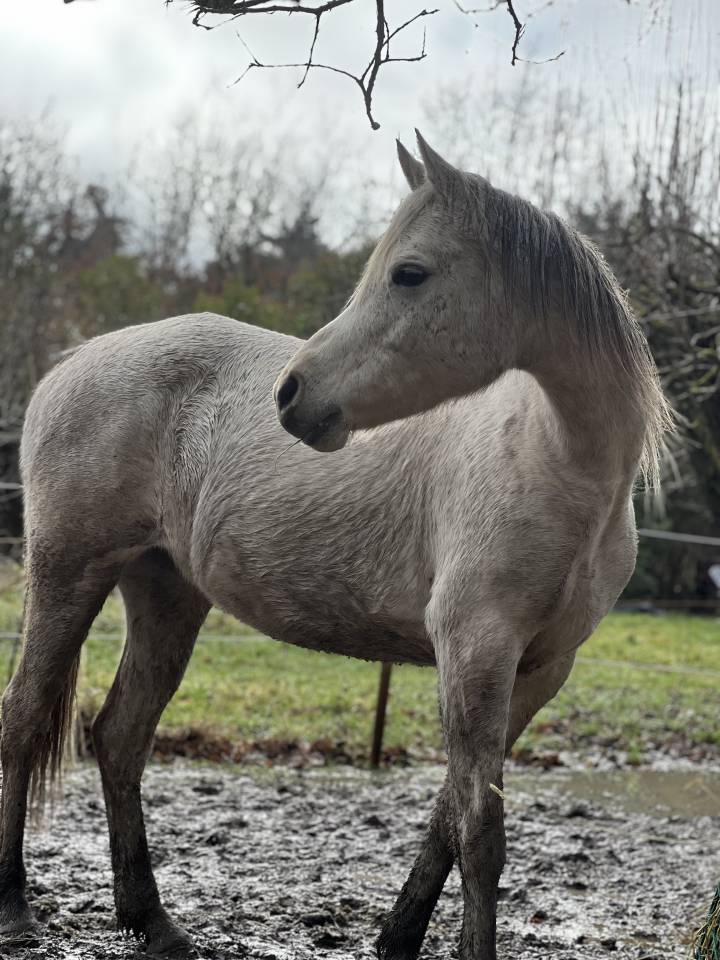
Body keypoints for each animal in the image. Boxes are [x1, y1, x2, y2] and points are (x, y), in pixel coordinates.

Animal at [0, 132, 670, 960]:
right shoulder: (476, 651)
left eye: (409, 272)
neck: (558, 463)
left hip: (165, 592)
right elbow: (481, 834)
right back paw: (16, 905)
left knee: (119, 737)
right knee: (23, 717)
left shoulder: (538, 670)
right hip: (67, 574)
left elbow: (449, 816)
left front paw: (397, 939)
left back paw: (150, 921)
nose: (291, 394)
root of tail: (72, 362)